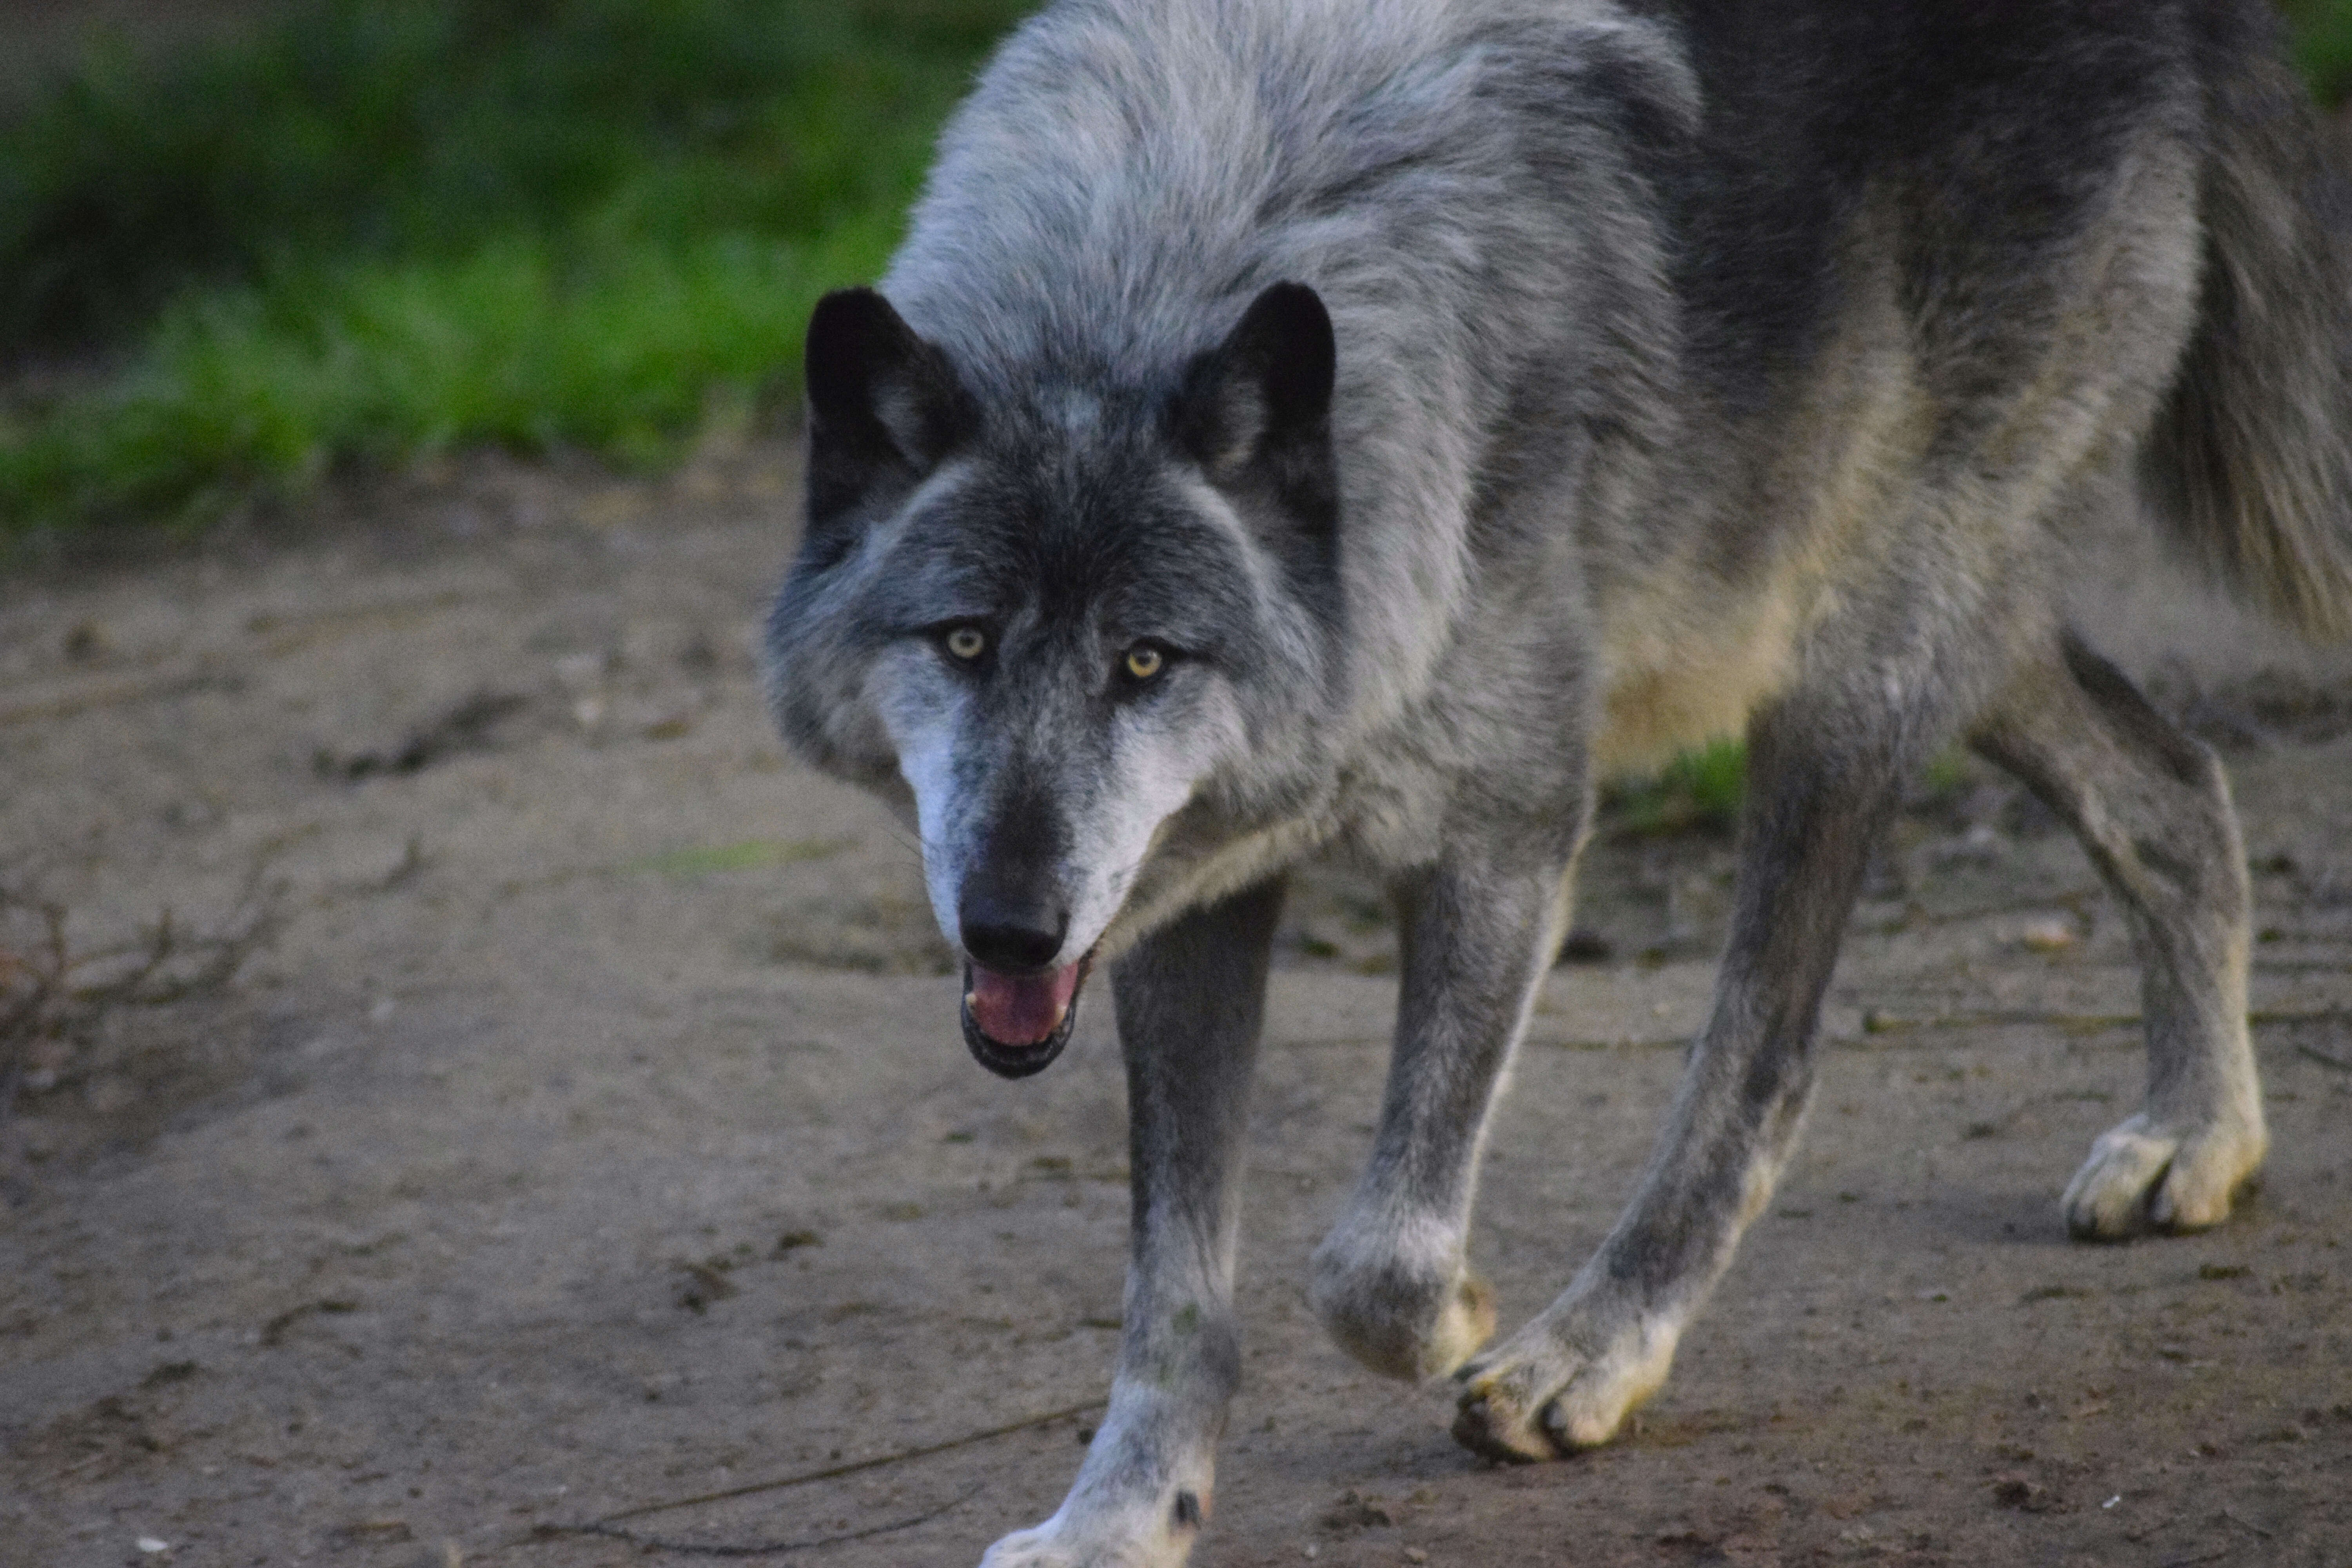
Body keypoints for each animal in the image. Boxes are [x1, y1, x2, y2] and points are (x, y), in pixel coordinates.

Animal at [762, 6, 2343, 1561]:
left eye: (1145, 661)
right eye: (964, 640)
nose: (1008, 926)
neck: (1160, 260)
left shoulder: (1507, 831)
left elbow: (1378, 1261)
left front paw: (1460, 1315)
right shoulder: (1182, 895)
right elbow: (1174, 1289)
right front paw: (1122, 1518)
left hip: (1845, 671)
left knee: (1763, 1060)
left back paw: (1588, 1352)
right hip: (1907, 624)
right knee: (2176, 788)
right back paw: (2198, 1136)